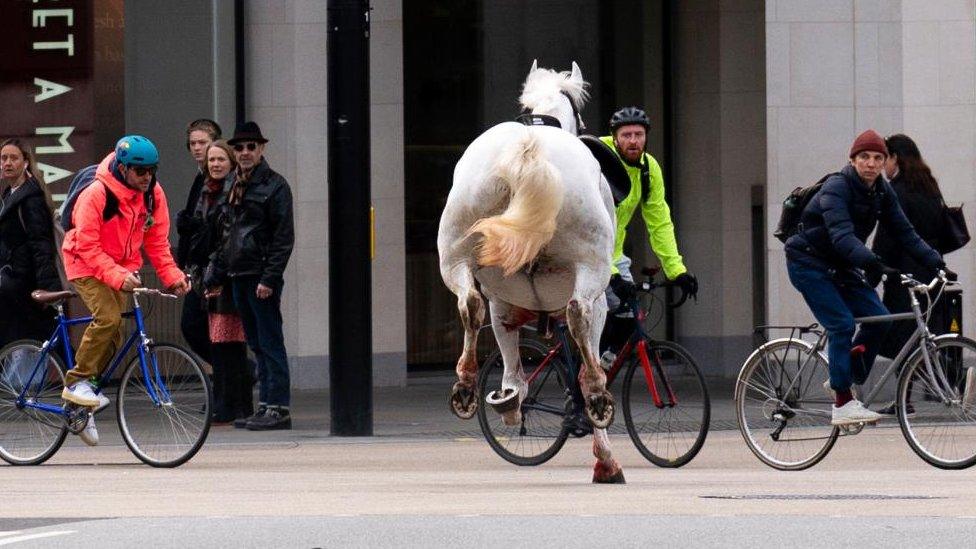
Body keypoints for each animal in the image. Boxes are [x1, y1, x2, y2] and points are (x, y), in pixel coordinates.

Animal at [436, 61, 624, 484]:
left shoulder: (504, 302)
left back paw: (468, 386)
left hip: (455, 252)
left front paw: (510, 396)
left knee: (470, 304)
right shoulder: (600, 304)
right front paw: (606, 459)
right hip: (590, 267)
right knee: (578, 314)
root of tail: (529, 148)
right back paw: (596, 397)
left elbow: (506, 346)